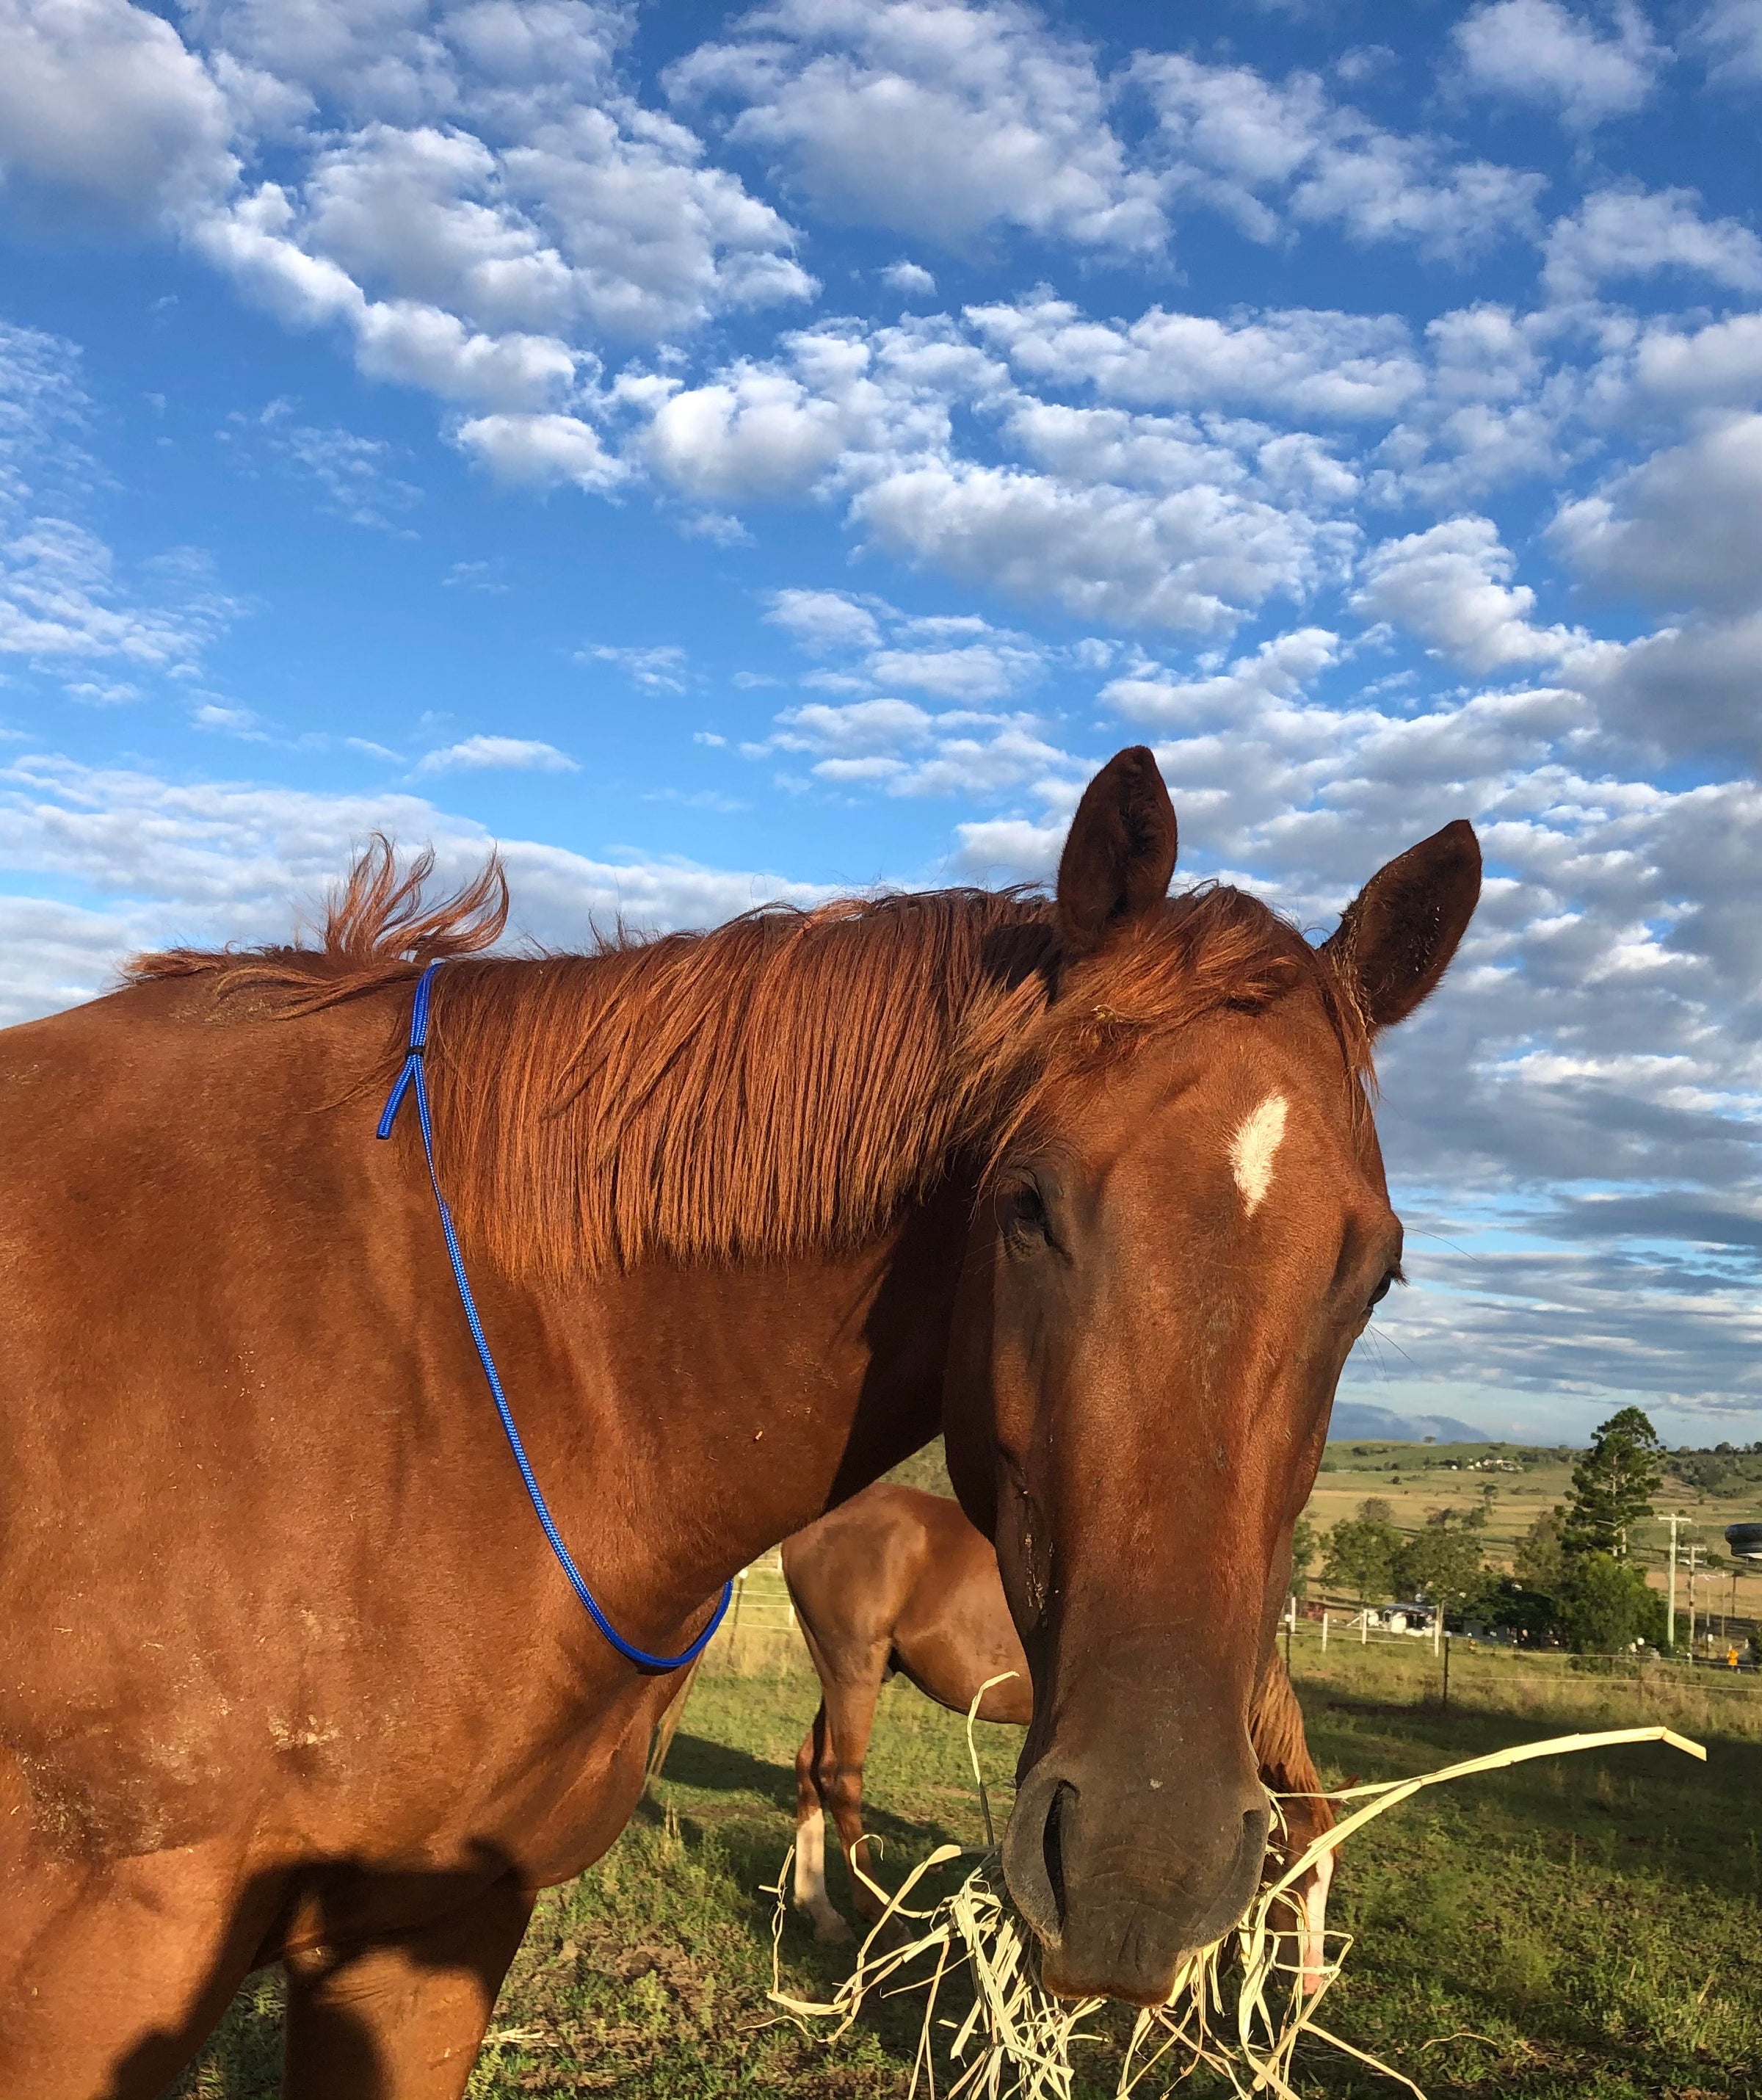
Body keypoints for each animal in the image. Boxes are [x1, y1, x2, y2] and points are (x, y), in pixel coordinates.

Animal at [781, 1478, 1335, 1982]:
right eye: (1293, 1873)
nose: (1311, 1977)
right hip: (854, 1672)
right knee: (841, 1780)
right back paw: (883, 1920)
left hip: (847, 1677)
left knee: (810, 1766)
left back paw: (821, 1910)